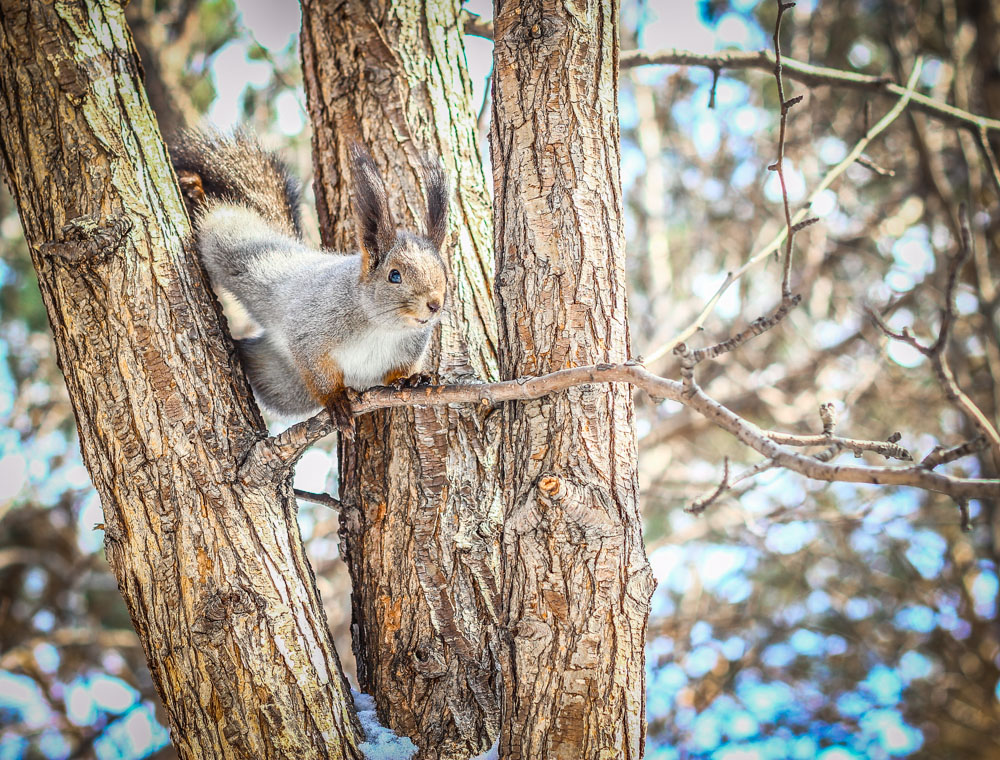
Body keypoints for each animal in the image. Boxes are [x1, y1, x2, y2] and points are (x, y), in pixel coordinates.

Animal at [172, 130, 450, 434]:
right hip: (241, 248)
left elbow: (395, 374)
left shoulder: (407, 350)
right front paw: (336, 401)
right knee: (220, 217)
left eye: (444, 272)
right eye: (394, 275)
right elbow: (317, 370)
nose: (434, 304)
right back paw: (196, 191)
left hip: (282, 383)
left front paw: (410, 379)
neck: (382, 327)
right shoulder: (311, 330)